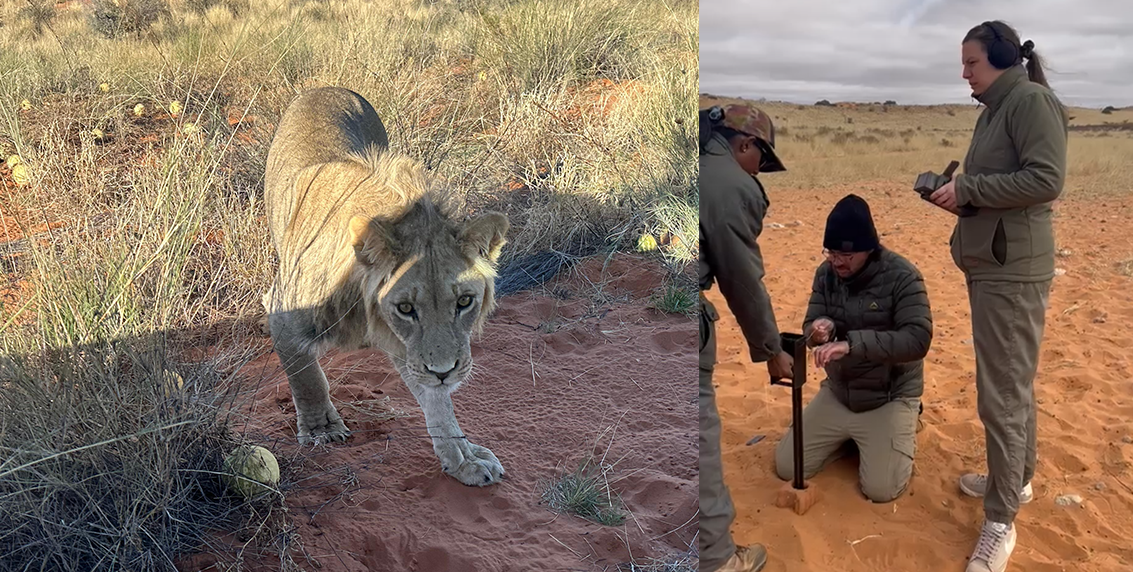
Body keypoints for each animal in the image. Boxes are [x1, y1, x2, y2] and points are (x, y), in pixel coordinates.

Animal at [261, 86, 509, 487]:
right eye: (405, 308)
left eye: (465, 302)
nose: (445, 372)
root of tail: (326, 86)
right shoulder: (283, 312)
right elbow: (306, 376)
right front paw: (321, 429)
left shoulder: (414, 351)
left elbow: (438, 404)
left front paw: (463, 458)